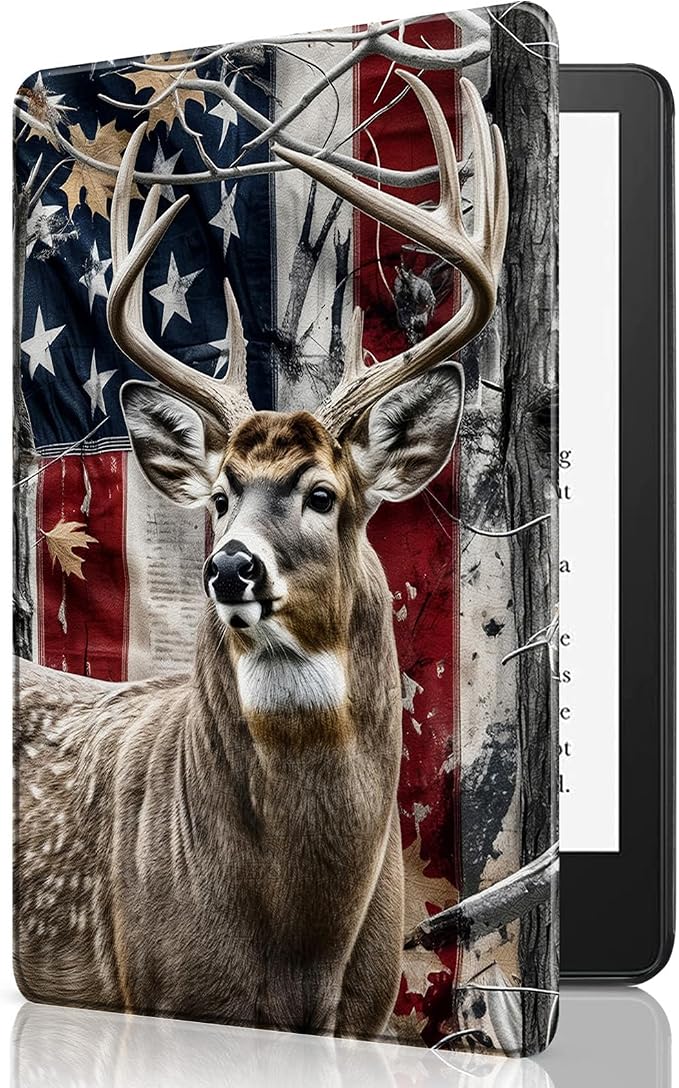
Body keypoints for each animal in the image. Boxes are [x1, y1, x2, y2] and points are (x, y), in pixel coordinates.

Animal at [15, 73, 507, 1037]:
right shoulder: (165, 993)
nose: (230, 567)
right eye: (219, 496)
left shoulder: (366, 1011)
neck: (304, 942)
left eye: (322, 495)